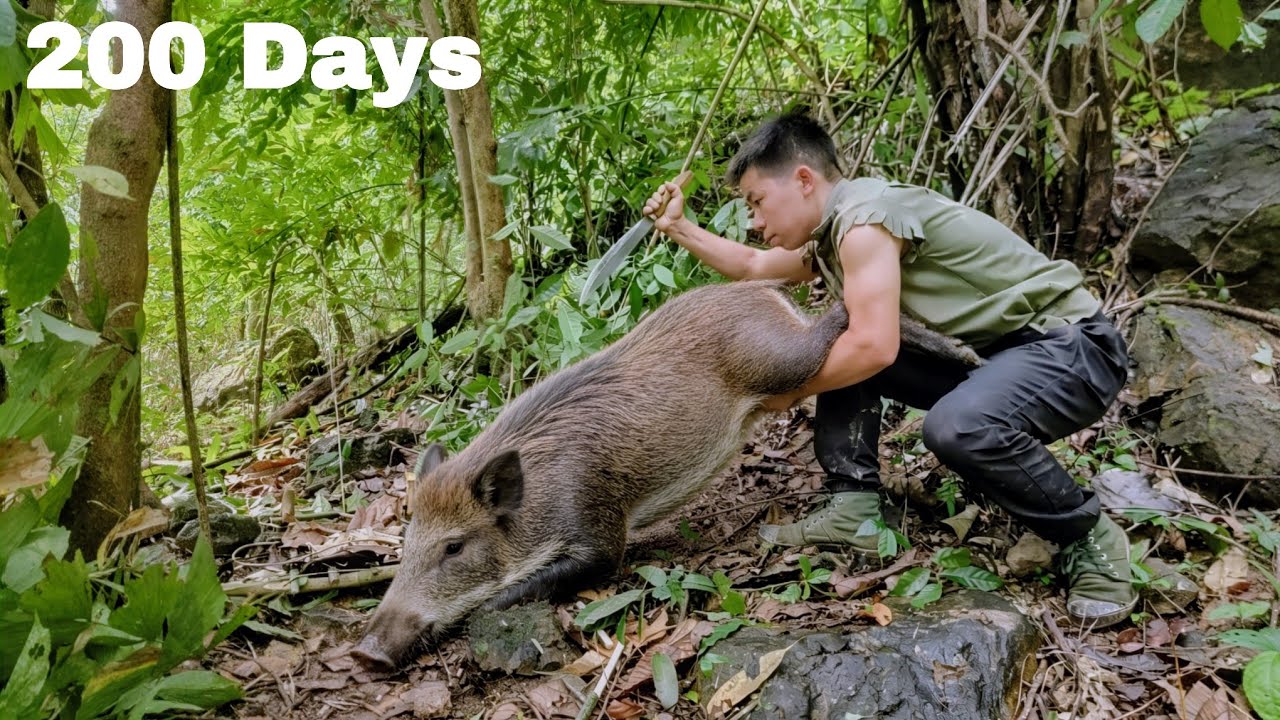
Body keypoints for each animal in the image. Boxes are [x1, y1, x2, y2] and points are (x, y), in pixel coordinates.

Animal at [352, 280, 977, 669]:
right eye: (407, 541)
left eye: (454, 547)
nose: (364, 653)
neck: (535, 505)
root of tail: (760, 290)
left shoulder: (600, 534)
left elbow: (518, 593)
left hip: (786, 359)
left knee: (846, 313)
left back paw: (965, 353)